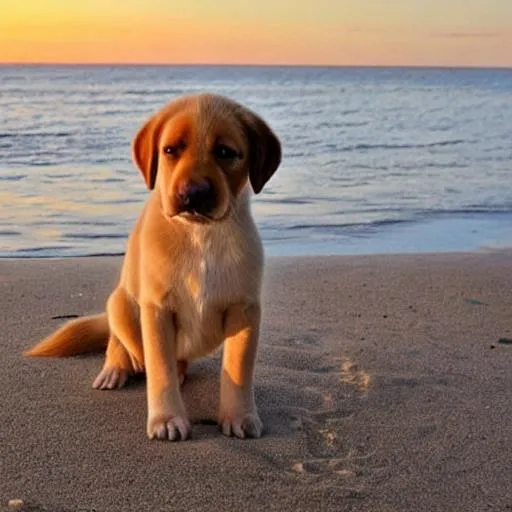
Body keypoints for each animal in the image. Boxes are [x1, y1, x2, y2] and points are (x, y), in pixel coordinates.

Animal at [26, 94, 282, 442]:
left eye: (226, 152)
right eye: (171, 149)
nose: (193, 194)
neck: (200, 237)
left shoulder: (244, 309)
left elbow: (238, 368)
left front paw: (239, 415)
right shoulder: (158, 310)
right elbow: (160, 369)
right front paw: (167, 418)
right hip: (120, 300)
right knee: (119, 341)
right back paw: (115, 368)